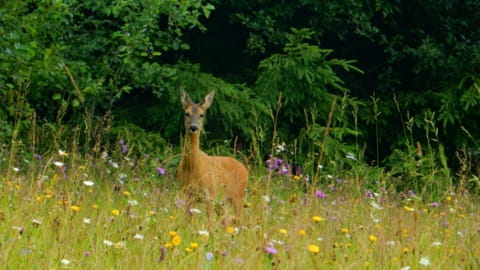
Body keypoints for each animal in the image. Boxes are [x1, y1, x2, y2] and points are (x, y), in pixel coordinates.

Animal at [178, 87, 249, 224]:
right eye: (186, 113)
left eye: (202, 114)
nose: (193, 127)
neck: (193, 169)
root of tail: (245, 169)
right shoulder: (187, 194)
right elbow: (187, 222)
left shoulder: (210, 195)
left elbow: (210, 224)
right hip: (222, 202)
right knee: (227, 221)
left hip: (238, 196)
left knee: (239, 221)